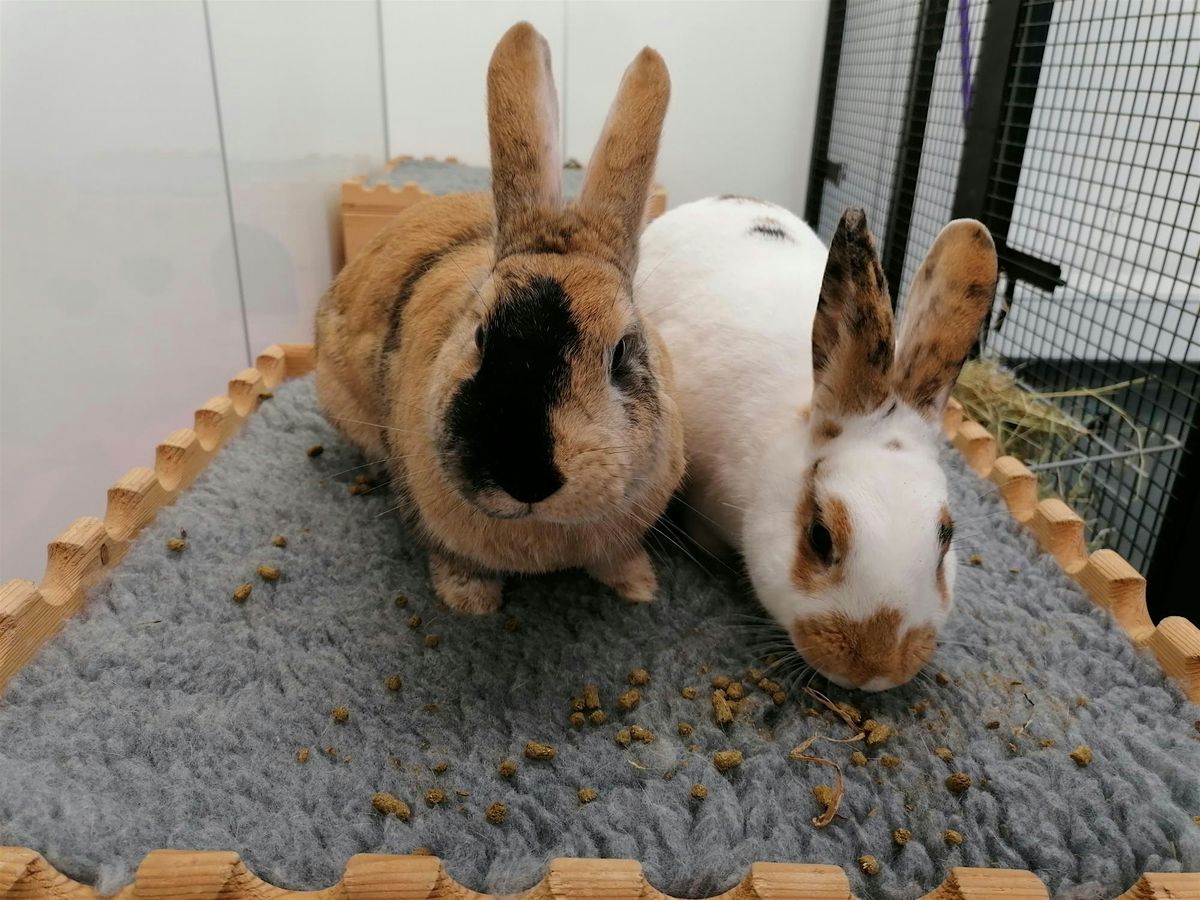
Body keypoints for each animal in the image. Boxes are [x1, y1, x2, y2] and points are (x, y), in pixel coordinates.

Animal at [314, 22, 684, 614]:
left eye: (623, 352)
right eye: (481, 335)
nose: (524, 474)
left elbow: (617, 556)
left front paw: (637, 587)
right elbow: (454, 561)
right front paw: (471, 604)